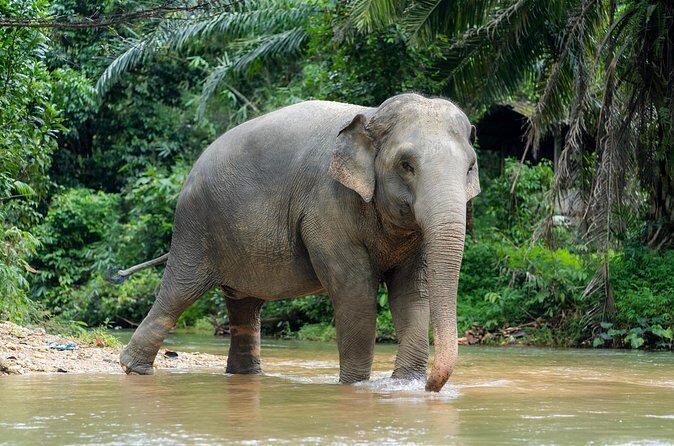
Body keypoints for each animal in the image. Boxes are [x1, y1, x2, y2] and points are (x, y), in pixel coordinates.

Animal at [114, 93, 480, 392]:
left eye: (470, 167)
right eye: (406, 165)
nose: (432, 385)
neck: (372, 114)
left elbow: (411, 292)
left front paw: (406, 386)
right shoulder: (326, 206)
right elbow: (355, 291)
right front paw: (355, 387)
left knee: (244, 306)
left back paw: (245, 376)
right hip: (195, 228)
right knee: (178, 293)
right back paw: (134, 370)